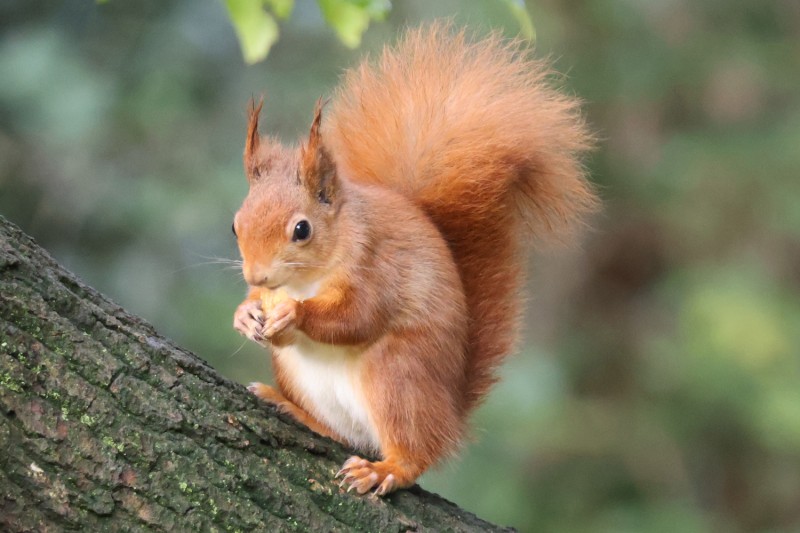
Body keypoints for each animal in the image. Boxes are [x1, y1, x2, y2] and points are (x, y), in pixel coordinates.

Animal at [232, 24, 596, 496]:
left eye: (302, 230)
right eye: (235, 226)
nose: (257, 274)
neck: (304, 279)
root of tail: (450, 414)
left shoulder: (376, 266)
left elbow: (358, 316)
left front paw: (294, 314)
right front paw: (245, 314)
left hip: (397, 376)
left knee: (416, 452)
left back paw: (385, 469)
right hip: (302, 376)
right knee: (345, 434)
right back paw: (291, 408)